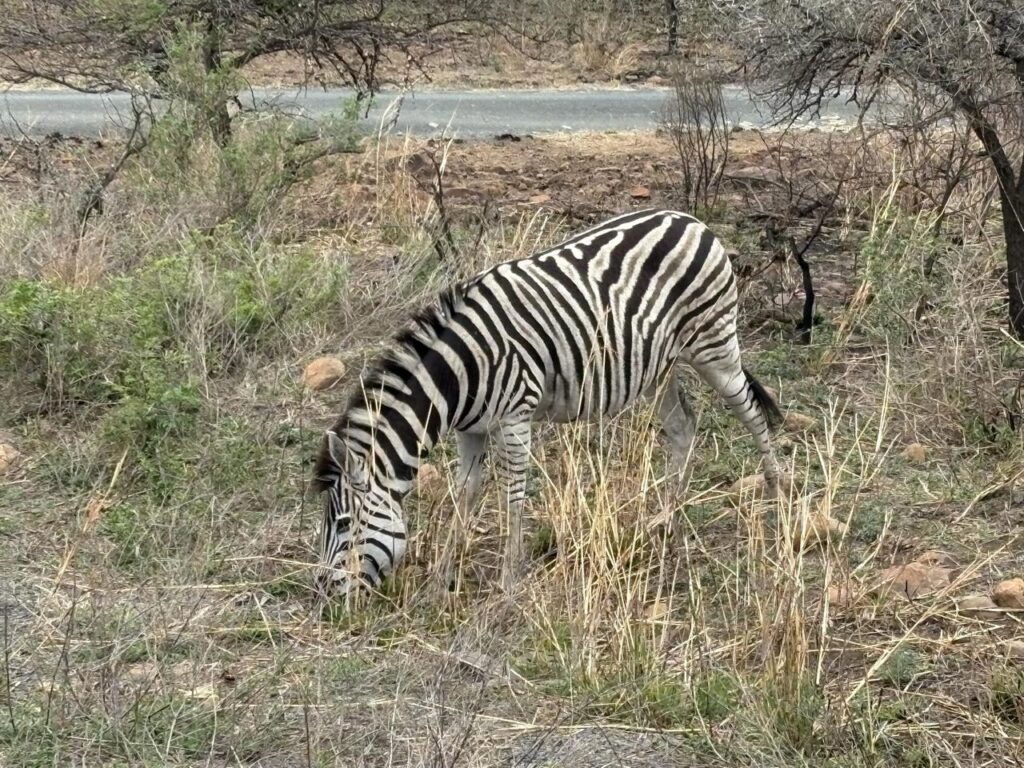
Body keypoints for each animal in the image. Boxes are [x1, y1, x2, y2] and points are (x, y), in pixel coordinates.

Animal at [310, 208, 784, 599]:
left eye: (343, 524)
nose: (324, 595)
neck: (460, 375)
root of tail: (692, 220)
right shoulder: (471, 430)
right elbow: (464, 496)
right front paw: (442, 577)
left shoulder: (515, 416)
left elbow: (513, 495)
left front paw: (507, 582)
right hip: (658, 368)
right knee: (683, 426)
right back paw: (663, 522)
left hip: (714, 347)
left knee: (753, 413)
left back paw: (776, 499)